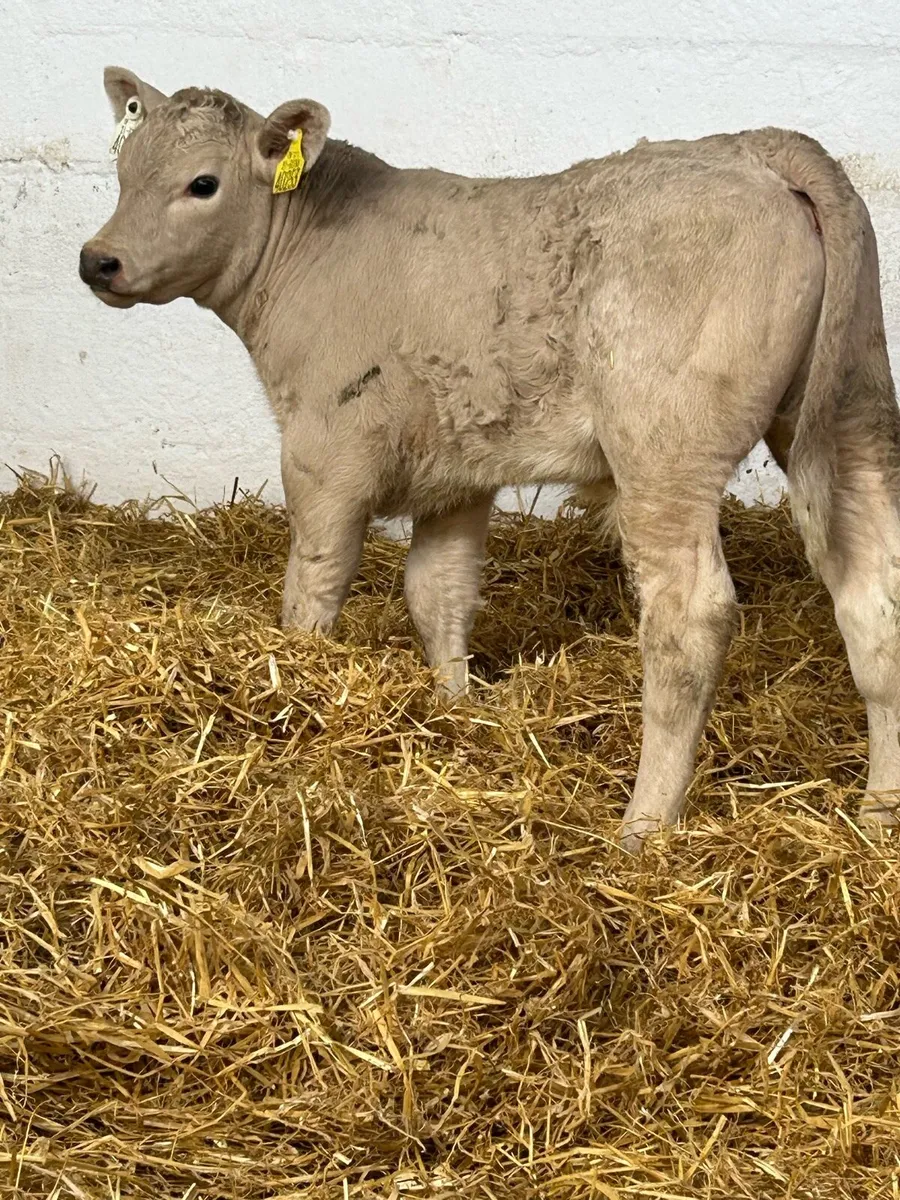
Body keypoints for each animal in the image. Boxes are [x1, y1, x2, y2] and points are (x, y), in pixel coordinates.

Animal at [80, 67, 900, 851]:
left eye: (203, 184)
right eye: (124, 170)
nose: (98, 261)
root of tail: (753, 146)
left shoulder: (324, 455)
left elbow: (314, 588)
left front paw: (296, 681)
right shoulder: (455, 471)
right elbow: (437, 591)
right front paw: (456, 707)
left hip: (665, 448)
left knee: (689, 620)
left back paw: (643, 830)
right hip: (849, 409)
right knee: (874, 590)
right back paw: (879, 814)